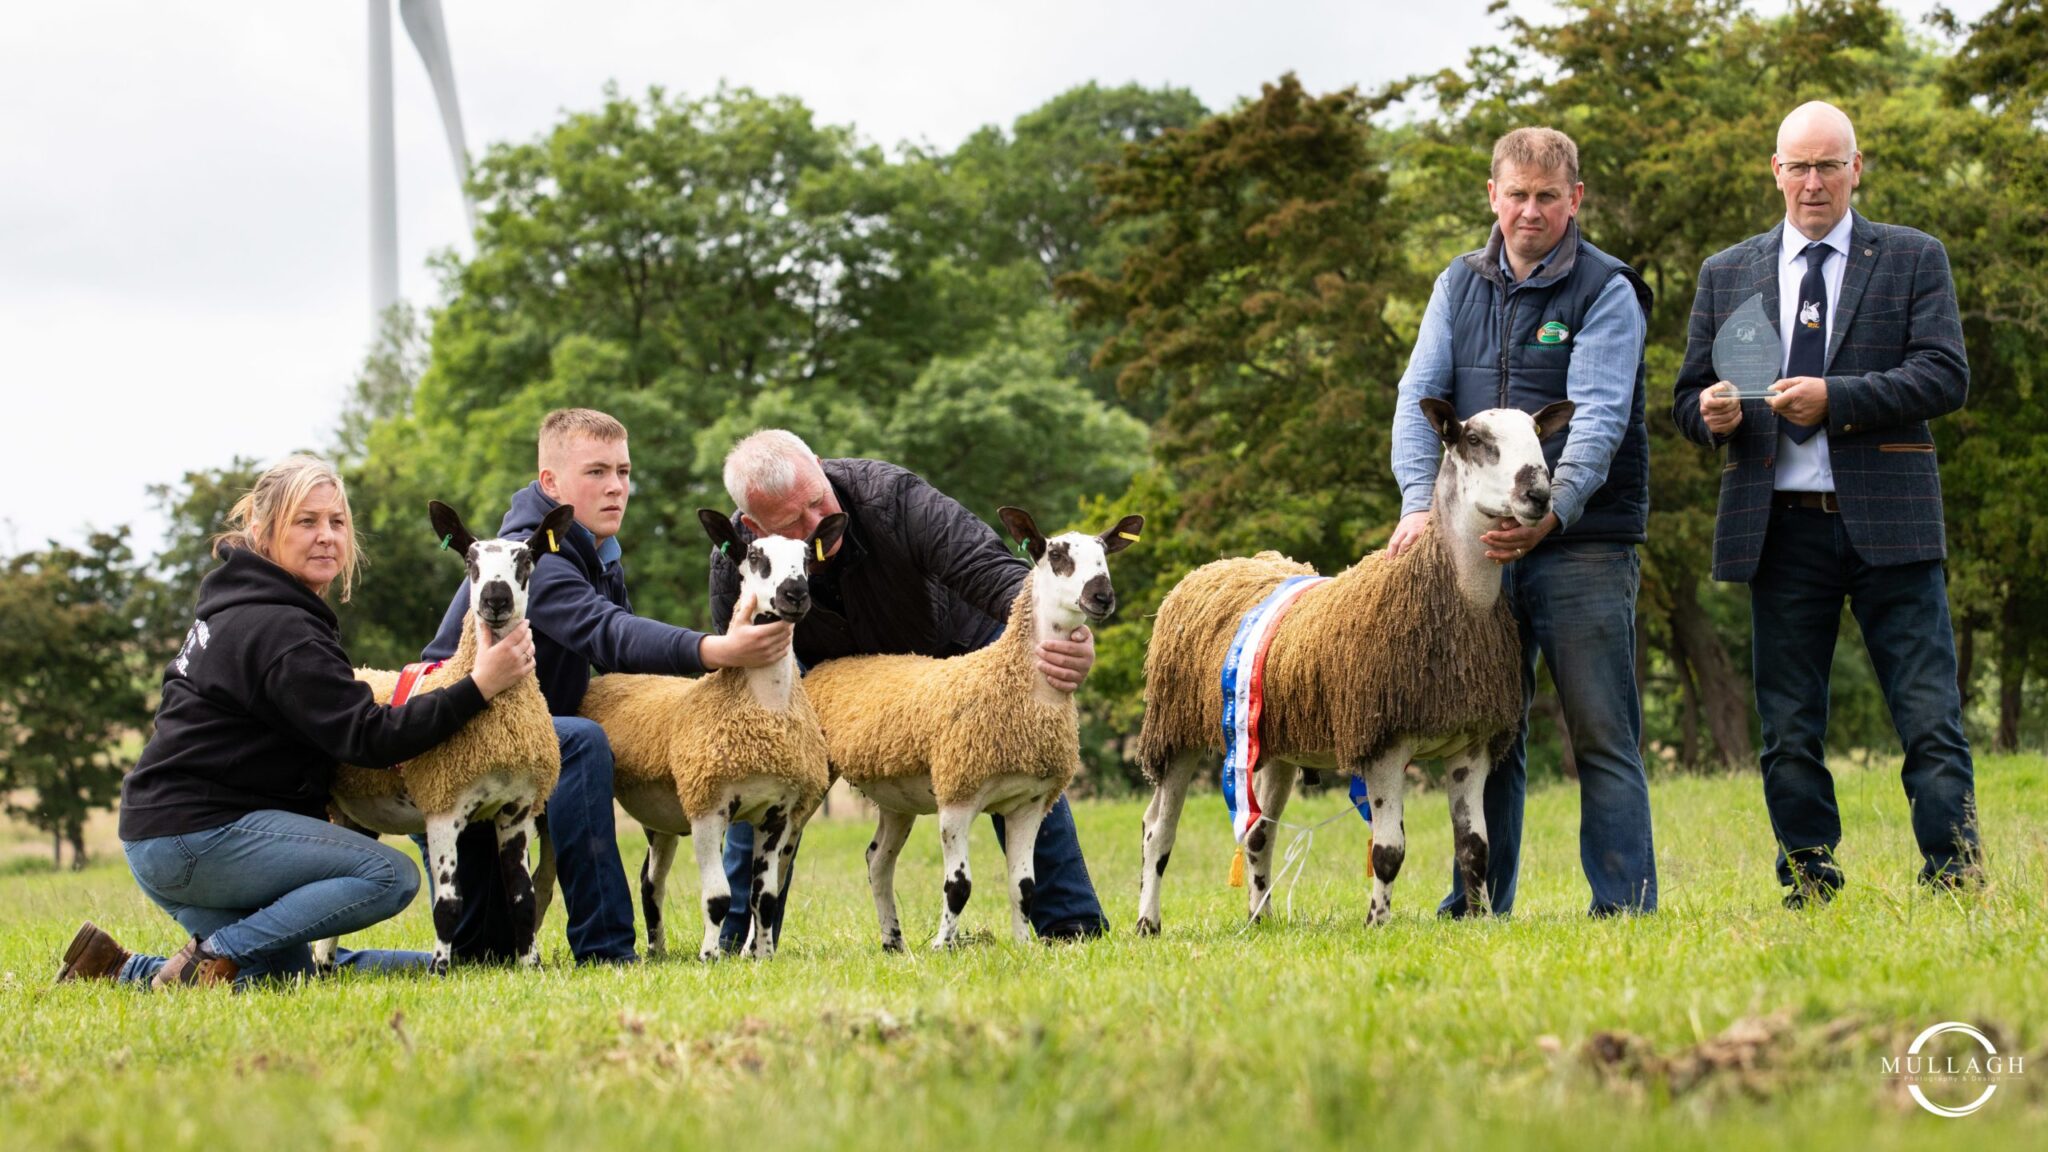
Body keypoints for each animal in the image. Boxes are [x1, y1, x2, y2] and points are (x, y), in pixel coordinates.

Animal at [317, 500, 577, 967]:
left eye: (526, 560)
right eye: (470, 563)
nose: (495, 598)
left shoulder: (517, 809)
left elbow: (523, 899)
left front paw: (531, 965)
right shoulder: (442, 805)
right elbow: (448, 905)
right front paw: (440, 968)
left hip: (352, 813)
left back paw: (321, 969)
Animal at [573, 510, 843, 959]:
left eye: (806, 557)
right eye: (755, 555)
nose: (795, 594)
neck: (764, 707)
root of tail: (603, 681)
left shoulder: (777, 813)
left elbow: (764, 897)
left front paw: (763, 956)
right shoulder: (707, 804)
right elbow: (718, 897)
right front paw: (709, 956)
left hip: (661, 817)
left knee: (650, 881)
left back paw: (657, 951)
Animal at [798, 506, 1146, 947]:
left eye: (1105, 556)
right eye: (1056, 556)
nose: (1102, 596)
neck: (1015, 685)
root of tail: (830, 665)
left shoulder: (1030, 802)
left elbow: (1024, 886)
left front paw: (1023, 945)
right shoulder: (957, 795)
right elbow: (958, 887)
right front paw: (942, 946)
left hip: (895, 796)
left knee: (877, 861)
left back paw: (894, 943)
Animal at [1130, 399, 1572, 926]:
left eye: (1537, 435)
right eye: (1475, 440)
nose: (1538, 494)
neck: (1453, 593)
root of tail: (1215, 566)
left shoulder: (1472, 745)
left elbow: (1474, 848)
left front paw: (1482, 919)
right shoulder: (1383, 743)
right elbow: (1388, 852)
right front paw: (1377, 923)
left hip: (1271, 743)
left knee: (1259, 832)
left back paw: (1261, 920)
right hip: (1174, 731)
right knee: (1158, 829)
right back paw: (1148, 922)